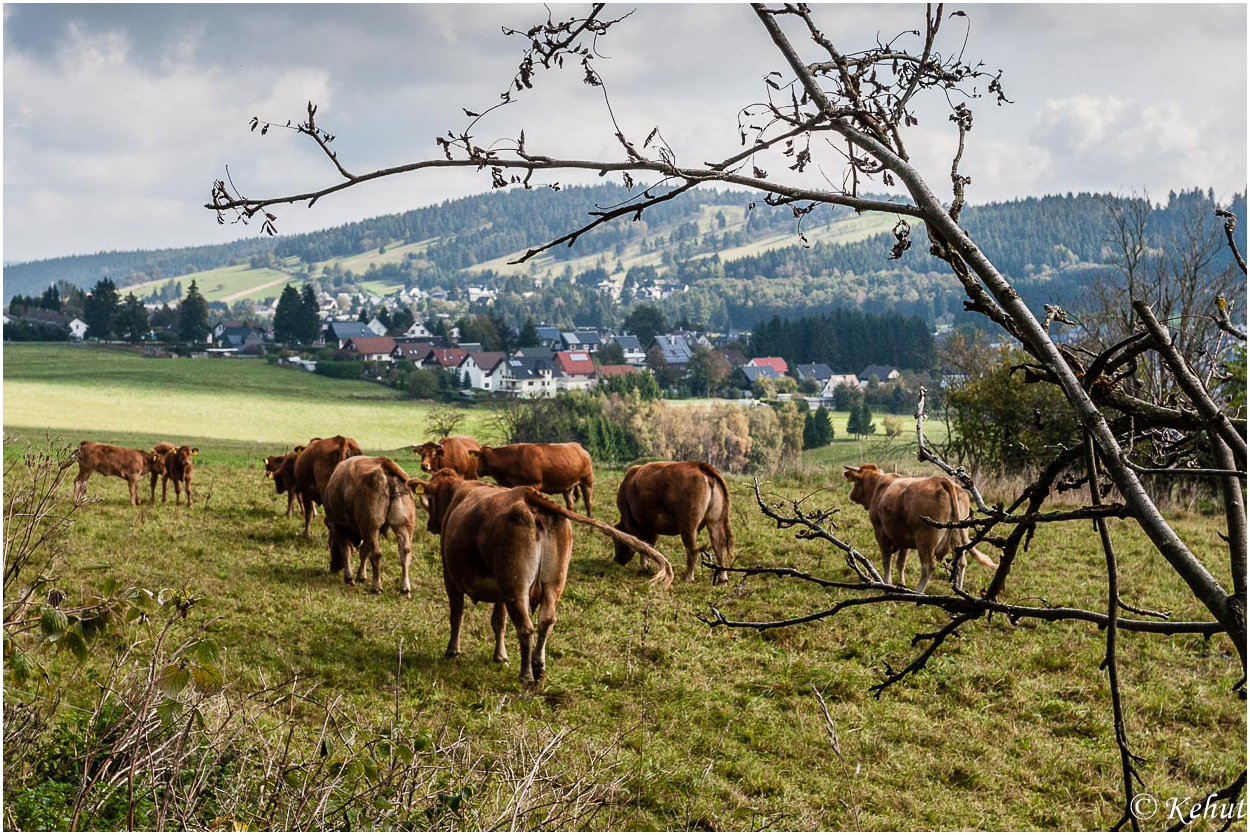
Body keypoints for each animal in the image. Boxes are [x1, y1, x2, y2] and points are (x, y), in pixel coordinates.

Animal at [322, 457, 420, 592]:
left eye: (331, 545)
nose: (334, 567)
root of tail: (384, 464)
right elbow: (364, 551)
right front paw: (361, 575)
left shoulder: (338, 526)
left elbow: (346, 550)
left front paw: (349, 577)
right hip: (403, 525)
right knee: (405, 551)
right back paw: (405, 587)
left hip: (371, 526)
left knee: (377, 554)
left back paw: (376, 586)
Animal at [412, 467, 675, 680]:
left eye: (430, 499)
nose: (429, 525)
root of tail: (528, 495)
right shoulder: (500, 590)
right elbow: (499, 622)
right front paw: (500, 655)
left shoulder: (452, 577)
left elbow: (457, 616)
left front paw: (452, 650)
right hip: (551, 583)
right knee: (546, 621)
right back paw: (538, 667)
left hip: (516, 586)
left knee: (526, 627)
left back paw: (527, 674)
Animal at [840, 462, 995, 592]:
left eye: (856, 482)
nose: (850, 495)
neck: (879, 486)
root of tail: (942, 480)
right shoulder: (904, 539)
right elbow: (901, 563)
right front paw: (901, 584)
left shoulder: (880, 531)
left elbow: (886, 560)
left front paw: (887, 583)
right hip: (958, 536)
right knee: (962, 563)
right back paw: (958, 590)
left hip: (925, 538)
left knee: (929, 565)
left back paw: (918, 591)